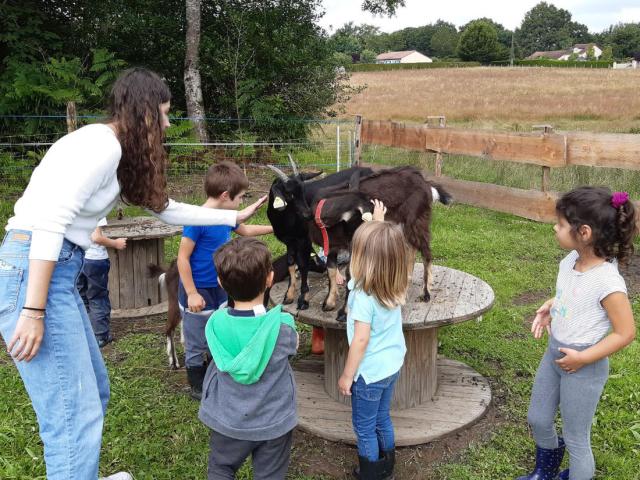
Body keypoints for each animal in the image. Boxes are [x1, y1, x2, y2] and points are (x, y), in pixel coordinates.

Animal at [264, 156, 372, 310]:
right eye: (288, 194)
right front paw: (289, 295)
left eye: (303, 190)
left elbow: (303, 264)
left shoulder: (304, 239)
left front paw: (303, 299)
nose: (308, 214)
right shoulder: (289, 241)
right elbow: (290, 262)